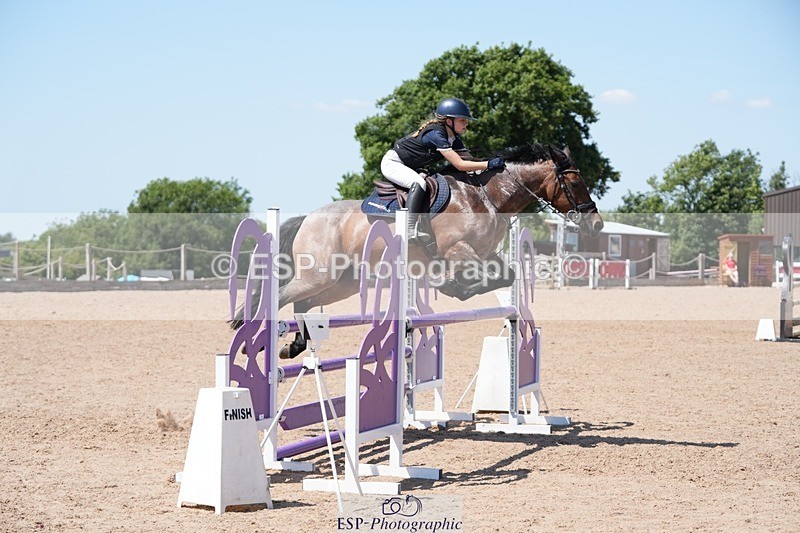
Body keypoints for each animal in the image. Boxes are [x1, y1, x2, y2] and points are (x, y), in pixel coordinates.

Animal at [237, 143, 603, 359]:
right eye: (574, 182)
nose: (597, 225)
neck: (486, 199)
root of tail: (308, 218)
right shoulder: (459, 250)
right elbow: (483, 276)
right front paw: (453, 286)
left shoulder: (486, 255)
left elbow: (506, 275)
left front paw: (456, 288)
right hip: (319, 275)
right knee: (281, 296)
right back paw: (259, 340)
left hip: (340, 283)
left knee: (302, 303)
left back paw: (294, 346)